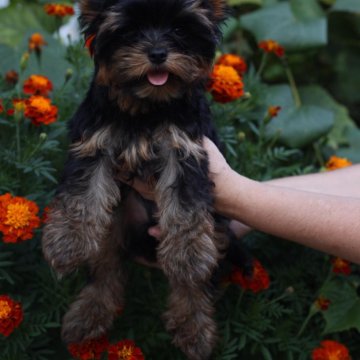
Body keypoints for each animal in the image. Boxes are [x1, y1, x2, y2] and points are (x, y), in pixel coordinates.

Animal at [40, 1, 248, 358]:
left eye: (179, 29)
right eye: (132, 30)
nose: (157, 53)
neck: (146, 105)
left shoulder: (185, 147)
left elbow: (186, 206)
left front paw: (189, 253)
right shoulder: (94, 141)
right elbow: (82, 192)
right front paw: (67, 242)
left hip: (218, 231)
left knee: (196, 281)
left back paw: (194, 327)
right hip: (116, 222)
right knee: (105, 266)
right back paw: (90, 313)